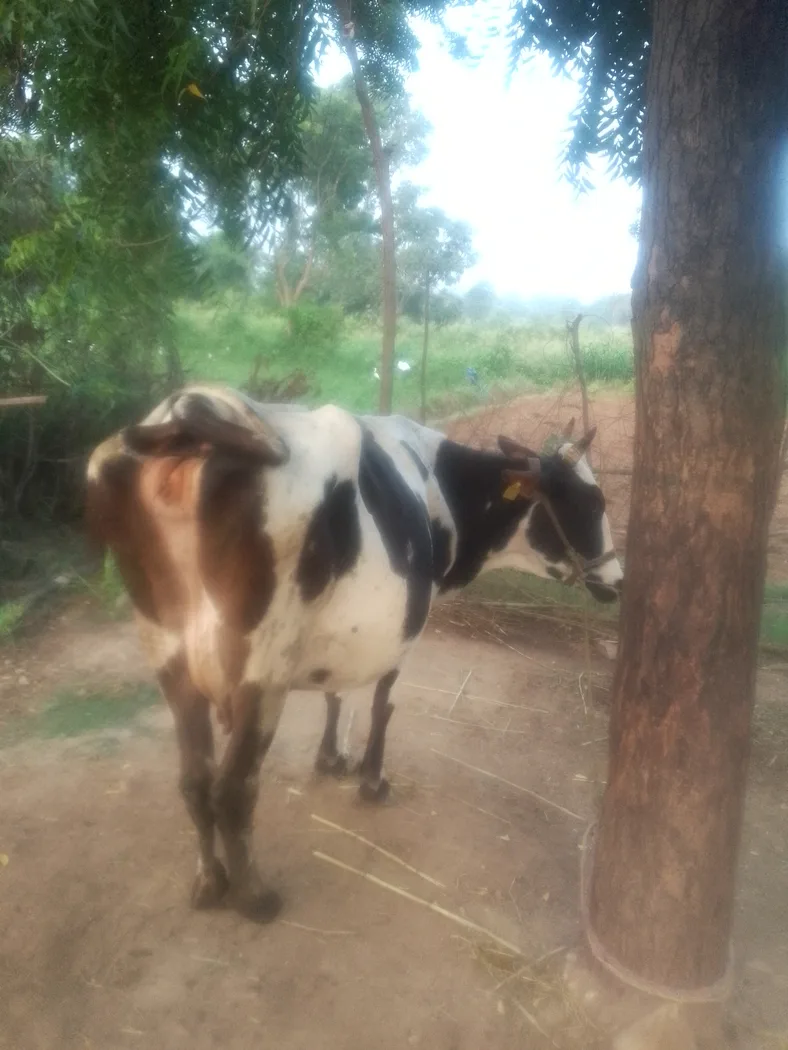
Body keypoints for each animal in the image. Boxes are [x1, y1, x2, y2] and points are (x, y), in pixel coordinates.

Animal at [86, 384, 622, 922]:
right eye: (592, 500)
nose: (618, 580)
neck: (441, 489)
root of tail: (190, 412)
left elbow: (336, 692)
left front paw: (331, 757)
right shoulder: (407, 625)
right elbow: (384, 703)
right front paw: (372, 781)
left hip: (169, 654)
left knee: (195, 781)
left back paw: (210, 881)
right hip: (262, 666)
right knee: (233, 788)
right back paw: (254, 896)